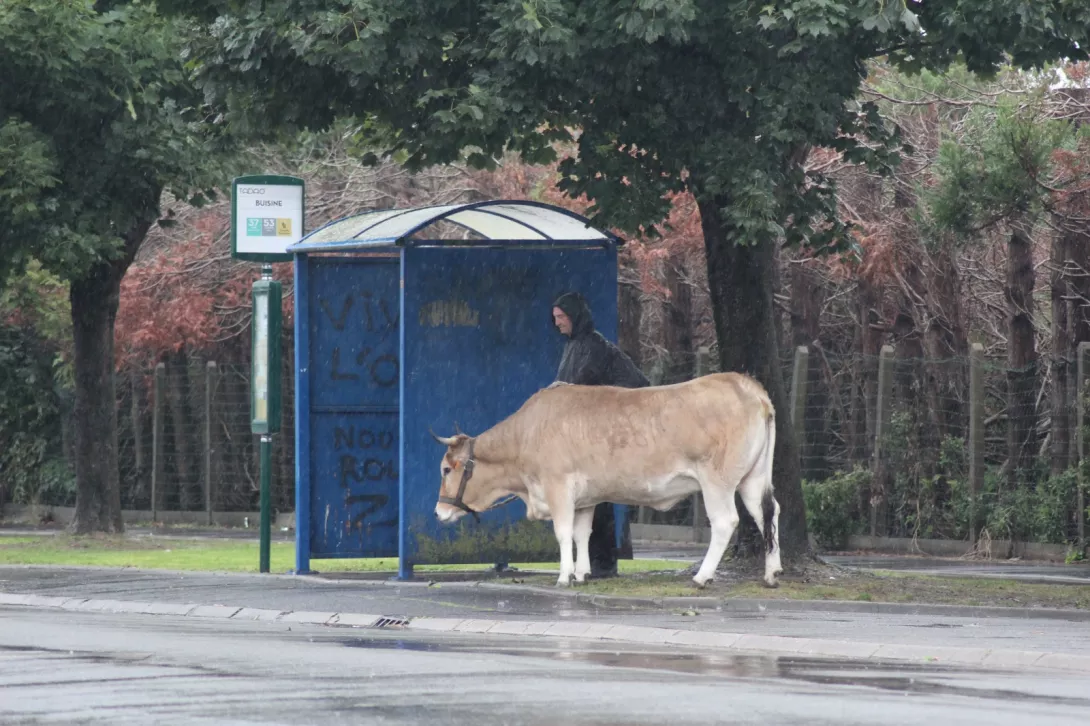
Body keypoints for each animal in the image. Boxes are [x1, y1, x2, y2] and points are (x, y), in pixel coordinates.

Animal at [429, 370, 780, 584]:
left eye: (446, 469)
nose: (438, 512)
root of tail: (745, 384)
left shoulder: (558, 486)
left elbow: (562, 532)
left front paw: (564, 577)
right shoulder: (585, 498)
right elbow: (581, 534)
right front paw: (582, 573)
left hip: (716, 481)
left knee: (725, 522)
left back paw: (702, 577)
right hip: (752, 478)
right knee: (768, 513)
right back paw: (772, 572)